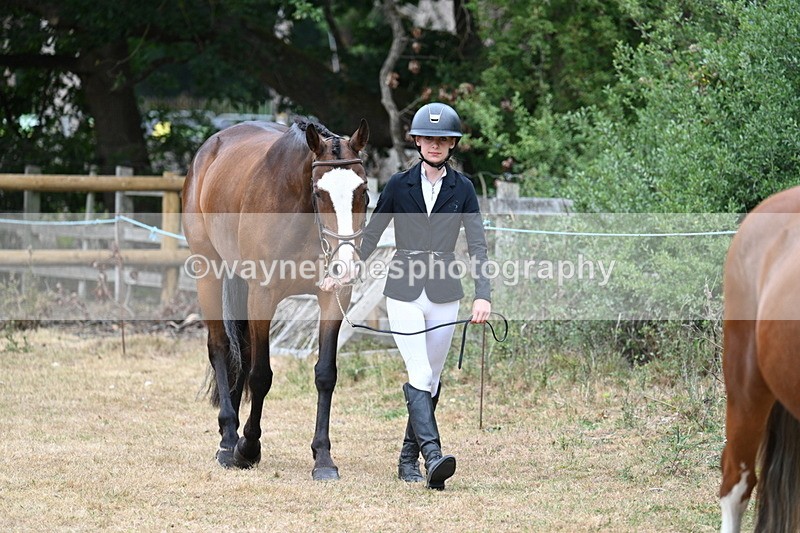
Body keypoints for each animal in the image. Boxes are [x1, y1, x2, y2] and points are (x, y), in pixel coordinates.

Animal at [181, 117, 370, 480]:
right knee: (220, 348)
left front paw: (323, 457)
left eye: (363, 191)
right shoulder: (263, 295)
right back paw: (229, 439)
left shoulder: (333, 296)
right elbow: (260, 375)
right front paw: (247, 449)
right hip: (208, 272)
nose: (347, 263)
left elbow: (325, 374)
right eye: (319, 193)